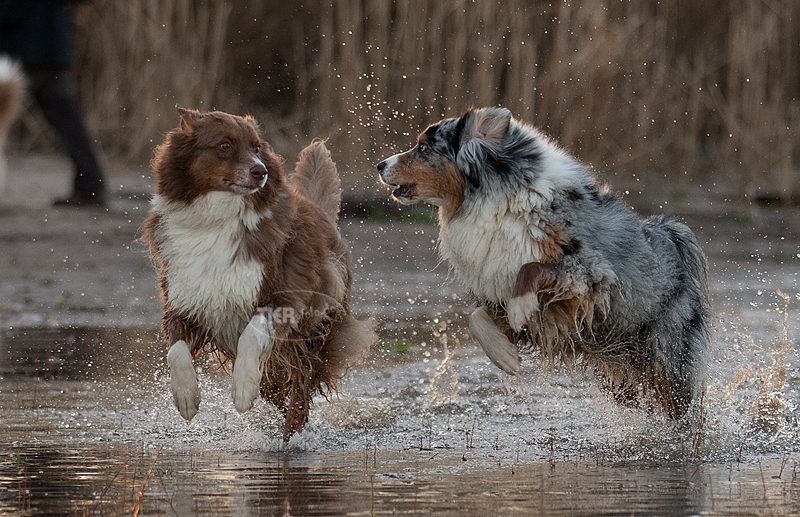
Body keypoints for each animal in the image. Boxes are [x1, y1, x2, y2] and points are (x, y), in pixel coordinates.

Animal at [142, 107, 376, 438]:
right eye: (225, 145)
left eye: (256, 147)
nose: (261, 171)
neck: (216, 219)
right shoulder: (183, 301)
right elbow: (175, 351)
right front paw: (186, 396)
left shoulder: (282, 297)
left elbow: (250, 336)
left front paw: (242, 390)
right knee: (278, 388)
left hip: (313, 333)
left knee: (301, 385)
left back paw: (292, 432)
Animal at [378, 108, 708, 420]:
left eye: (423, 148)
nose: (380, 165)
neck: (497, 198)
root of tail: (673, 236)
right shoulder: (503, 292)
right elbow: (476, 317)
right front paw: (504, 355)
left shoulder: (590, 272)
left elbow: (530, 269)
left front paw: (521, 306)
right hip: (619, 371)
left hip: (665, 356)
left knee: (679, 406)